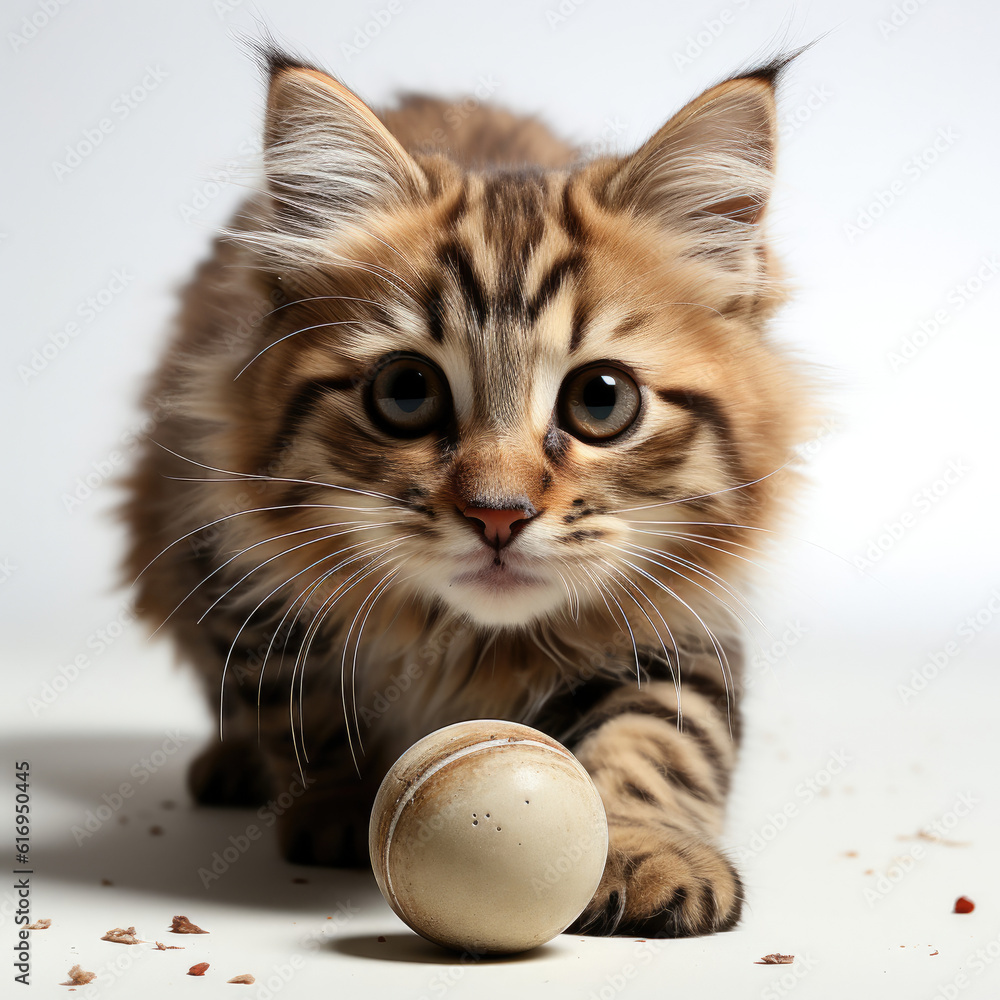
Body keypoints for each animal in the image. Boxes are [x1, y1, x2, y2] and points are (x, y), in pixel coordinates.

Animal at [125, 47, 812, 936]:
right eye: (407, 392)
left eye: (601, 401)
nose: (497, 515)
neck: (471, 639)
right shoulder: (234, 560)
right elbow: (302, 703)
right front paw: (343, 805)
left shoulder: (680, 622)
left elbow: (661, 738)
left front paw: (642, 848)